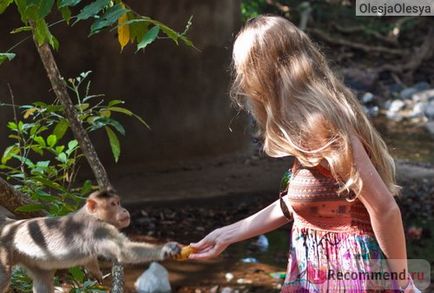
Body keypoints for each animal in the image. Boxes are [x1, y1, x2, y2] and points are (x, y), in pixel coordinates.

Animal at [0, 188, 181, 292]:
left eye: (119, 202)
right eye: (113, 204)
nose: (123, 210)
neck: (93, 215)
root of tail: (9, 225)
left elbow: (90, 259)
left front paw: (96, 273)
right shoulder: (98, 229)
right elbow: (123, 251)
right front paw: (166, 249)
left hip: (30, 259)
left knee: (42, 280)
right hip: (4, 249)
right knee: (5, 277)